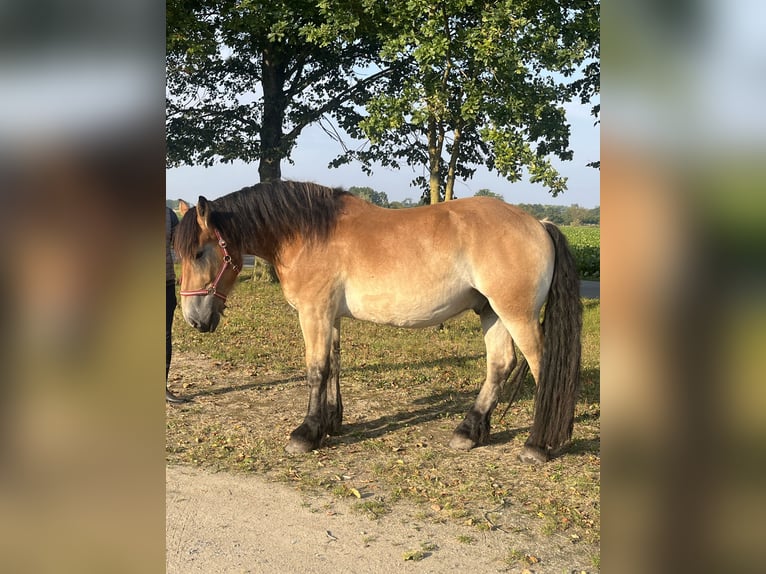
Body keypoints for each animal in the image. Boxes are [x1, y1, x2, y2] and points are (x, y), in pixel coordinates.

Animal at [174, 182, 584, 466]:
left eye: (200, 252)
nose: (194, 319)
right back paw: (470, 431)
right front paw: (330, 424)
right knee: (500, 364)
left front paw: (305, 434)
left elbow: (316, 370)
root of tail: (539, 223)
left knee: (542, 366)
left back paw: (537, 445)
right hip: (491, 312)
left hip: (516, 314)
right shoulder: (331, 316)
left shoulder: (314, 313)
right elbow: (333, 365)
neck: (307, 233)